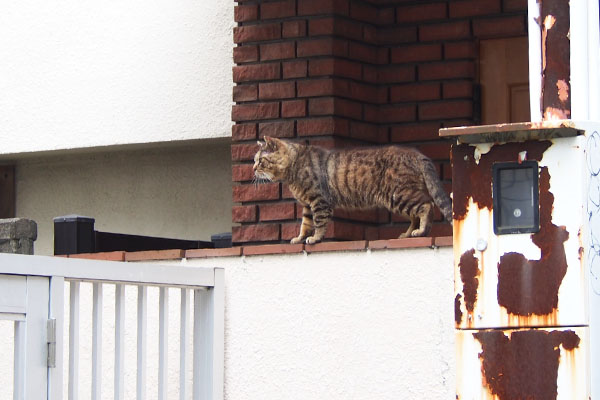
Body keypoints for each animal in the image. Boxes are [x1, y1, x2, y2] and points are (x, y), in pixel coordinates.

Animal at [251, 137, 452, 244]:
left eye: (260, 161)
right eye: (254, 160)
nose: (252, 169)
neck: (293, 169)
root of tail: (418, 155)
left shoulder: (319, 200)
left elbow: (319, 223)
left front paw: (315, 238)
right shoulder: (308, 205)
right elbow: (305, 224)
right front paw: (300, 238)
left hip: (399, 195)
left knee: (427, 206)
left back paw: (421, 231)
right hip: (399, 197)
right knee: (415, 215)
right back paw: (409, 234)